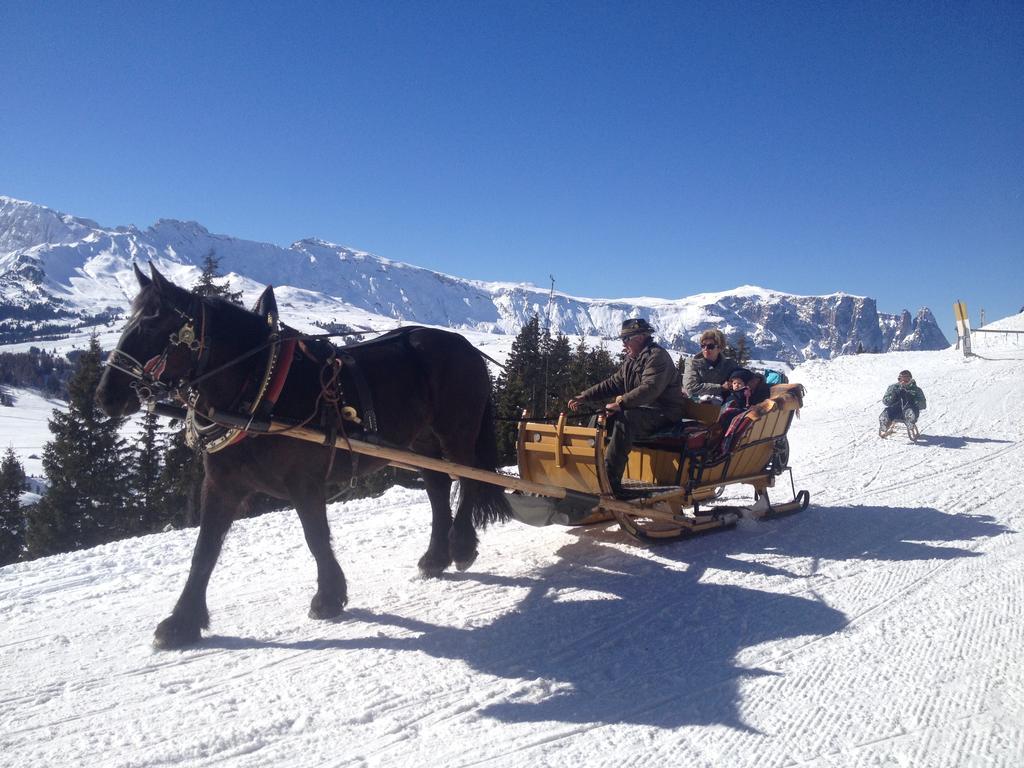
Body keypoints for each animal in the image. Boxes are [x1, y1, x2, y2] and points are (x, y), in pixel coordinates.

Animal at [97, 264, 509, 651]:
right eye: (128, 319)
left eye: (154, 325)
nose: (105, 396)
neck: (257, 390)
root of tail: (466, 346)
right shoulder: (221, 485)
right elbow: (204, 551)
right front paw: (182, 622)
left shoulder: (304, 481)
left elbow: (315, 536)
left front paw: (328, 597)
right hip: (422, 442)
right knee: (438, 489)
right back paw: (436, 557)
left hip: (457, 434)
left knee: (470, 479)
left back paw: (461, 546)